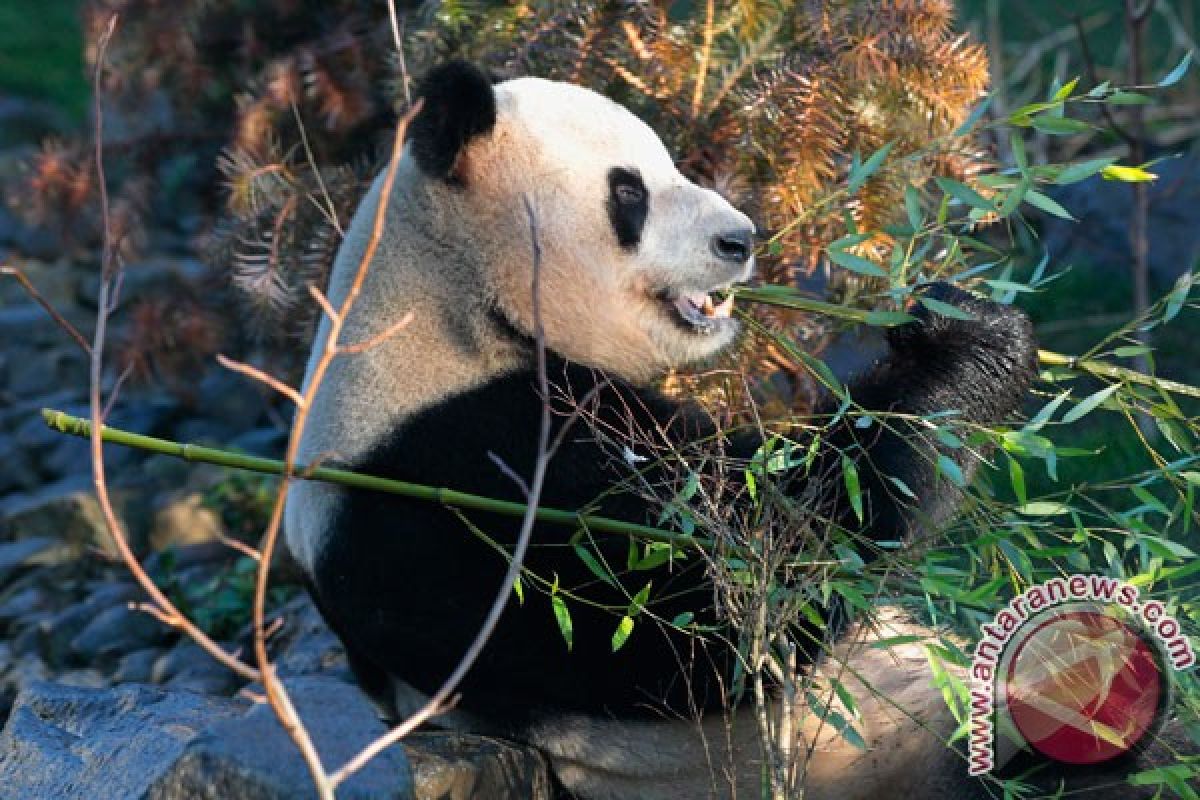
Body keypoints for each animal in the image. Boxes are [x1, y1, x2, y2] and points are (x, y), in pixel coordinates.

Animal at [280, 59, 1113, 796]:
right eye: (629, 193)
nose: (740, 240)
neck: (449, 308)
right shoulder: (454, 479)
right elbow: (734, 592)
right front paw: (968, 344)